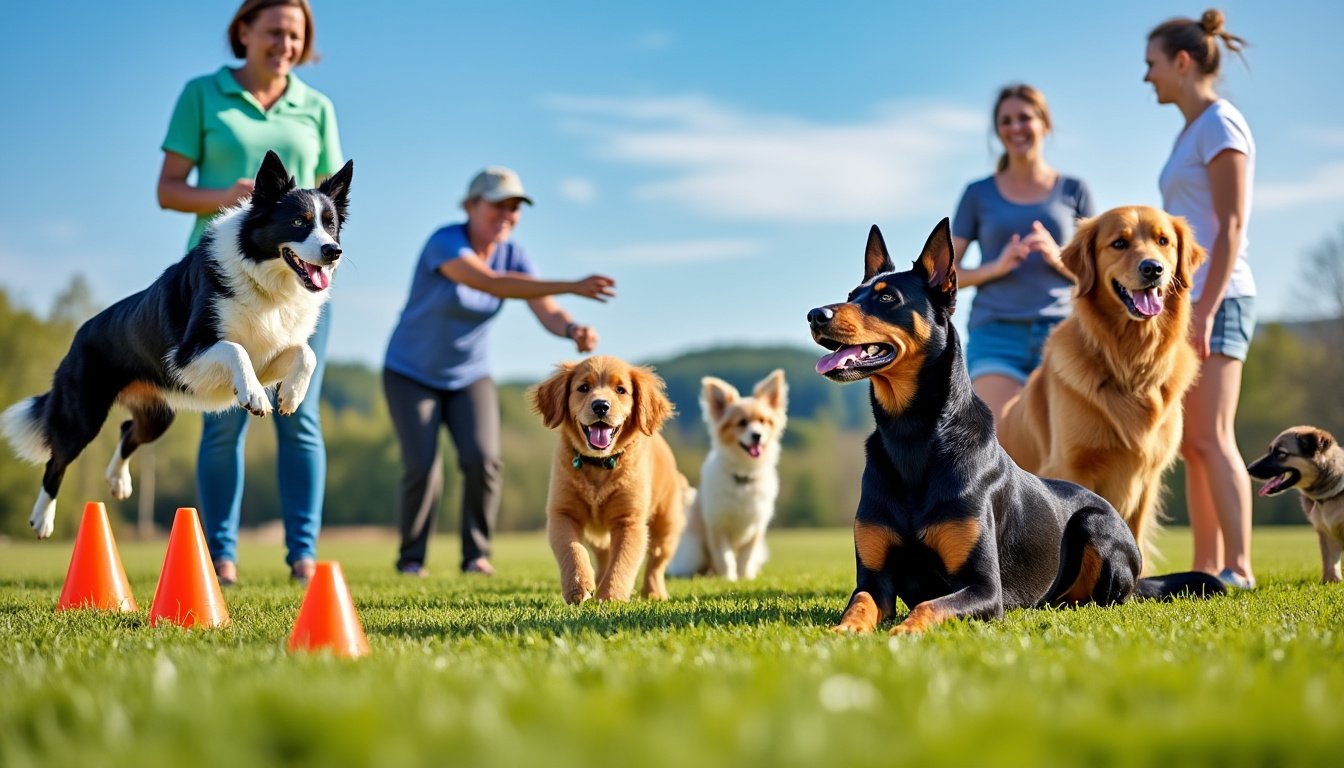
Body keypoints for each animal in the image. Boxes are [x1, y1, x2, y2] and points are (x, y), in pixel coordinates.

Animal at [529, 357, 688, 605]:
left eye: (620, 390)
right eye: (584, 387)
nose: (601, 406)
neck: (599, 464)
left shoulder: (629, 520)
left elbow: (622, 562)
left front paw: (611, 596)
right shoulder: (562, 513)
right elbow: (572, 550)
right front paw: (578, 586)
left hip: (667, 524)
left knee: (656, 561)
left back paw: (654, 592)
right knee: (603, 555)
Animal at [666, 368, 784, 581]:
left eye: (763, 421)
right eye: (742, 423)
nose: (757, 435)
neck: (743, 476)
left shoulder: (756, 528)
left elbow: (745, 557)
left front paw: (745, 578)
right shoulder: (718, 528)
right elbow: (725, 557)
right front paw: (729, 579)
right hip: (694, 549)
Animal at [999, 207, 1209, 562]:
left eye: (1163, 241)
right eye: (1119, 243)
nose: (1153, 268)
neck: (1130, 363)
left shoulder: (1147, 477)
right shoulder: (1070, 466)